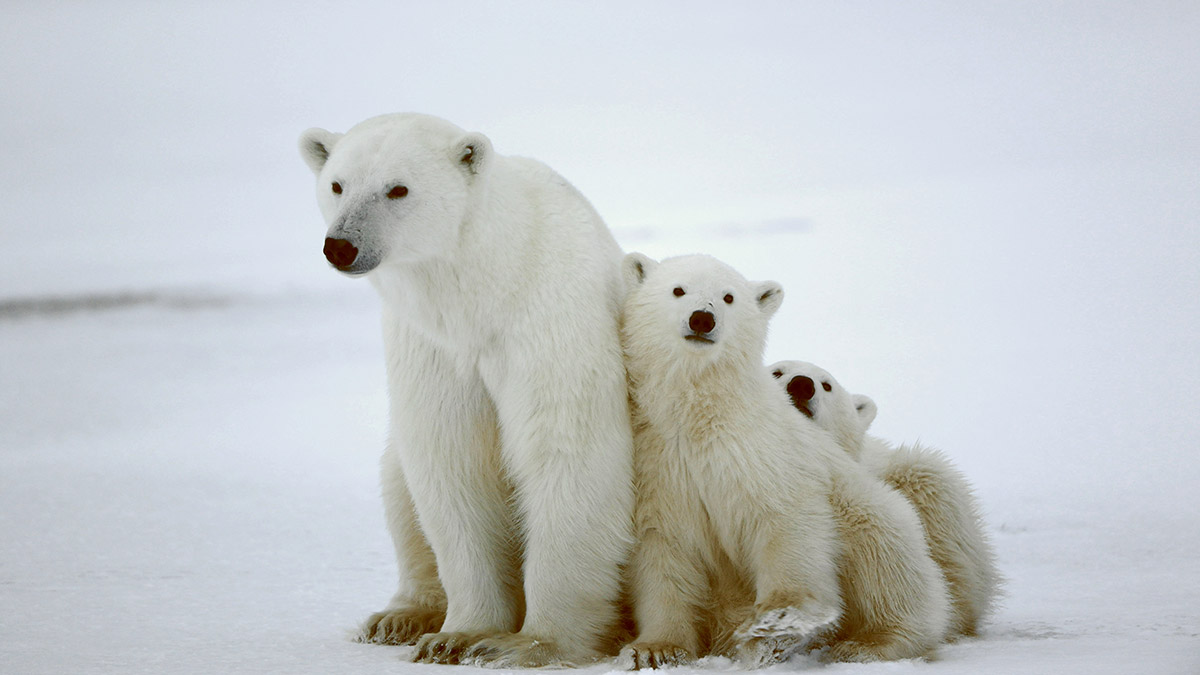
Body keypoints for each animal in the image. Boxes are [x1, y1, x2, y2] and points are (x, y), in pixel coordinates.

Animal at [297, 112, 638, 662]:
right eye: (337, 184)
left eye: (398, 188)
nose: (341, 246)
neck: (487, 288)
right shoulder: (433, 346)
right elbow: (451, 460)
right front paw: (457, 636)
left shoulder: (550, 319)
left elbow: (567, 453)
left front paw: (529, 644)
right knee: (398, 484)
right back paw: (399, 616)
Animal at [619, 253, 945, 662]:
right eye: (678, 290)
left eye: (728, 297)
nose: (702, 319)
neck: (701, 415)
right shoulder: (661, 463)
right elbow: (664, 549)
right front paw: (654, 649)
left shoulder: (766, 451)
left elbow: (787, 523)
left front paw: (773, 628)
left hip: (868, 509)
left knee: (885, 559)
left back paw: (869, 642)